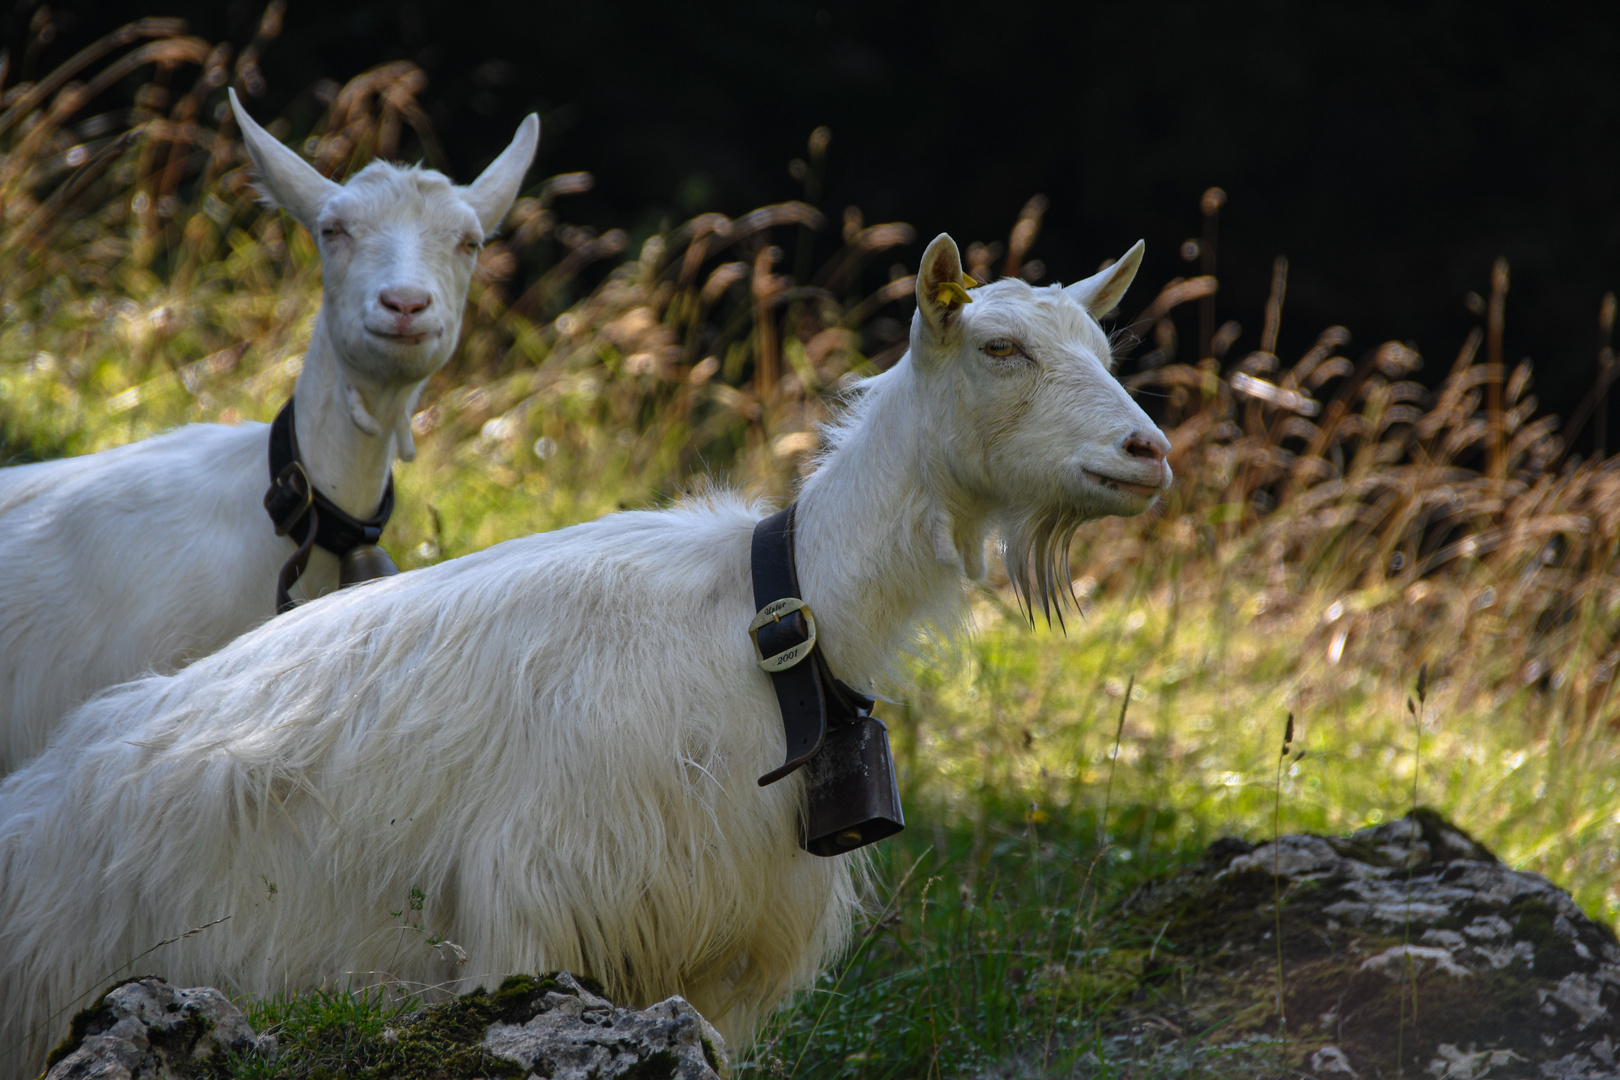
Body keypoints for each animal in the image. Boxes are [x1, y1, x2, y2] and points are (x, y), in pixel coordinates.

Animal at [0, 233, 1172, 1075]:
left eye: (1106, 352)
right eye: (999, 348)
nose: (1148, 452)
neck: (767, 618)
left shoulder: (713, 952)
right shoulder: (537, 921)